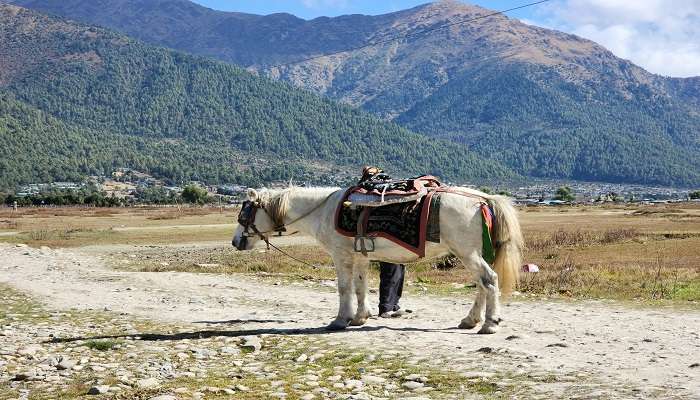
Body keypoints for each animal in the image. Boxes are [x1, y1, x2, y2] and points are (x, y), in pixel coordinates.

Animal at [232, 186, 524, 332]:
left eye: (244, 213)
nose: (236, 242)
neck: (322, 210)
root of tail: (483, 198)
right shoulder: (360, 257)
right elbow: (361, 286)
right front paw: (360, 317)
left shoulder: (341, 256)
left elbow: (344, 288)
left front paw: (340, 320)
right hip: (471, 253)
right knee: (481, 285)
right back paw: (470, 320)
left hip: (467, 253)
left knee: (489, 280)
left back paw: (489, 323)